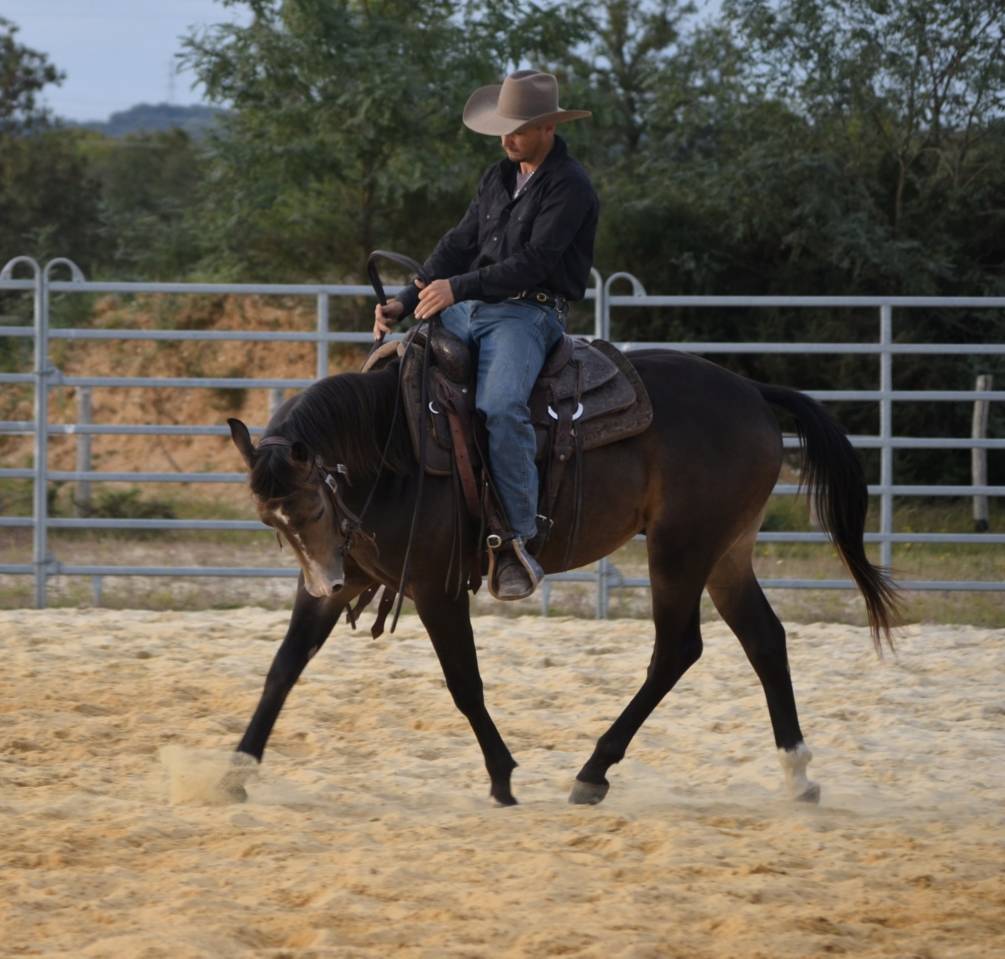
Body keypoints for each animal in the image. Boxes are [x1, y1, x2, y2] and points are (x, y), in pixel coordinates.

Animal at [226, 347, 898, 807]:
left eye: (314, 509)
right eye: (271, 521)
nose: (330, 584)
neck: (392, 452)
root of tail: (753, 391)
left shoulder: (435, 589)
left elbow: (464, 684)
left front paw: (502, 779)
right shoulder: (337, 582)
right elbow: (283, 667)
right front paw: (237, 770)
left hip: (681, 549)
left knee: (676, 649)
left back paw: (593, 772)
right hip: (727, 552)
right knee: (764, 639)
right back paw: (798, 775)